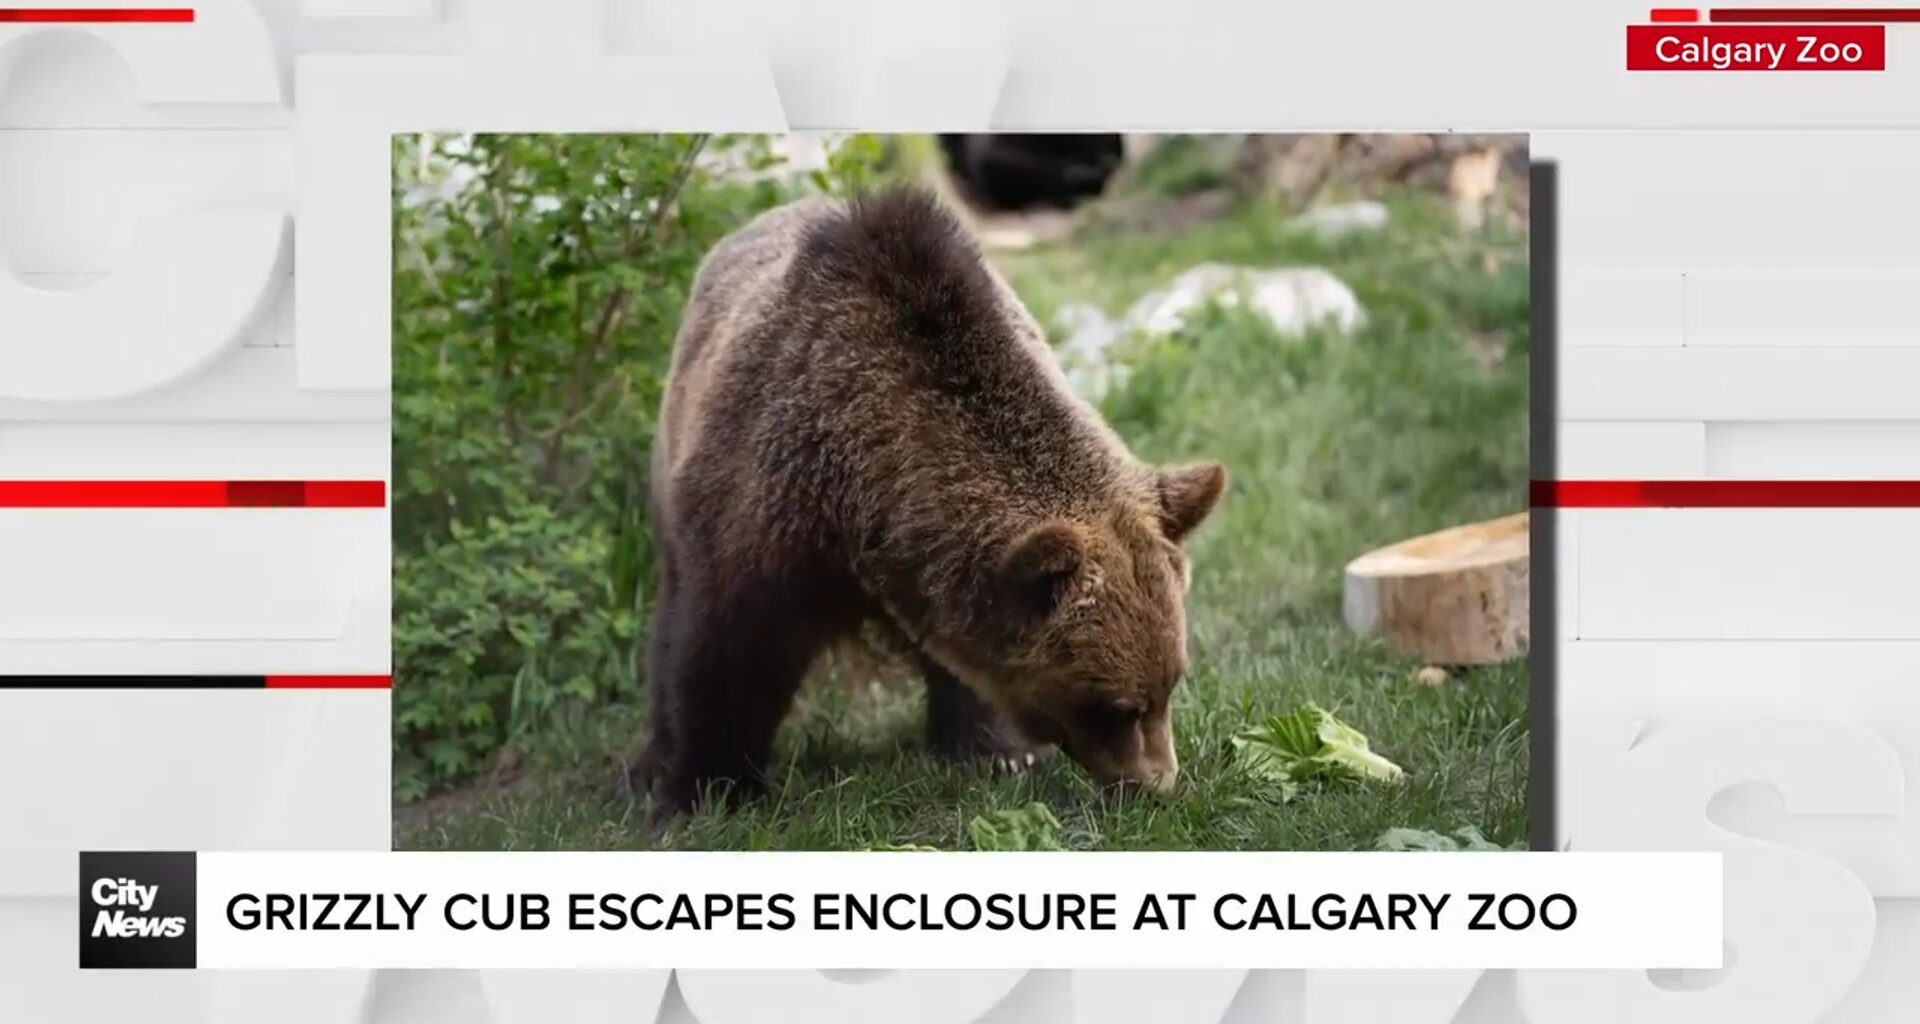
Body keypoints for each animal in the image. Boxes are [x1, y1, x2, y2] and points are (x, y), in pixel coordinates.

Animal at [630, 186, 1226, 823]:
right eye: (1116, 705)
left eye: (1171, 684)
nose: (1157, 785)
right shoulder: (765, 501)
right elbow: (724, 648)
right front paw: (703, 787)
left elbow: (967, 665)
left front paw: (998, 751)